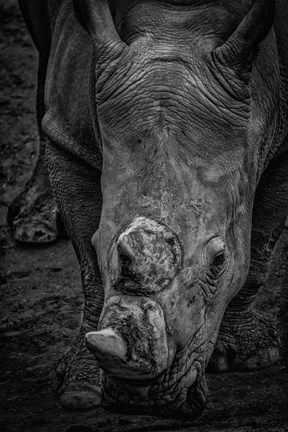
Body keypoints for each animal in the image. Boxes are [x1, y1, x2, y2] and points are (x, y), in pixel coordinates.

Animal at [14, 0, 288, 420]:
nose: (139, 398)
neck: (175, 26)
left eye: (219, 263)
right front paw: (80, 390)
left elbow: (259, 243)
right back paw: (32, 225)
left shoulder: (284, 137)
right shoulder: (71, 139)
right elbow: (90, 272)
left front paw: (255, 355)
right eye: (100, 244)